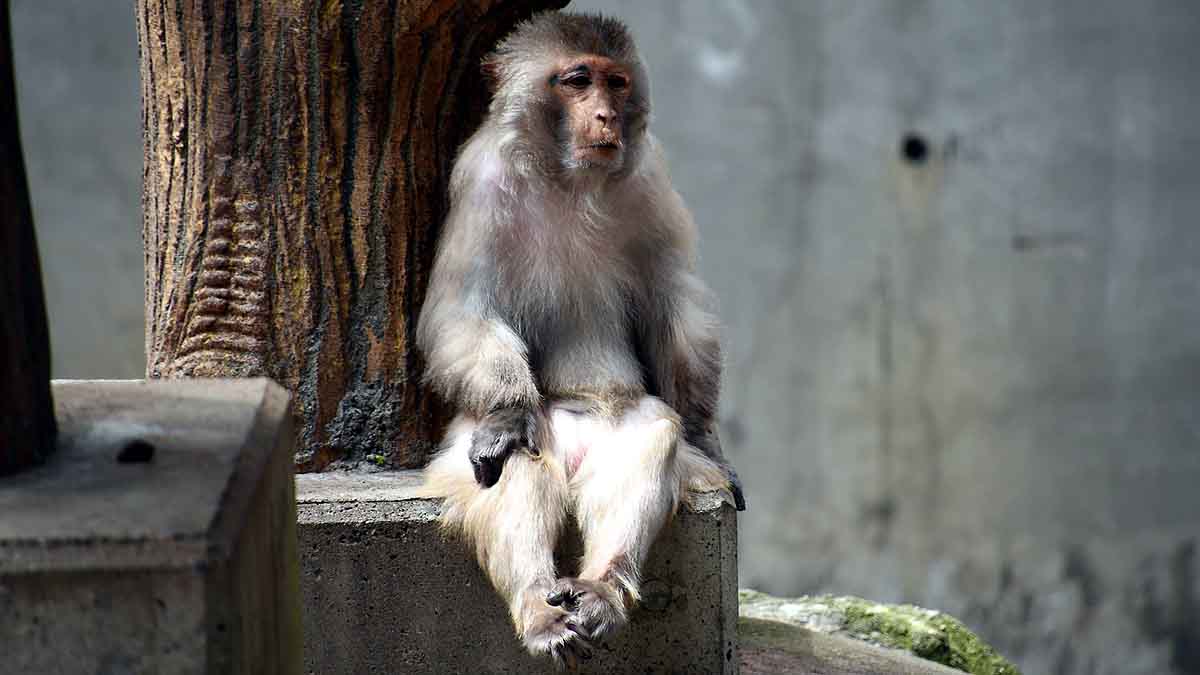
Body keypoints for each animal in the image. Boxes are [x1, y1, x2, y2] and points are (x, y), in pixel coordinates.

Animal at [417, 11, 745, 668]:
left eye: (616, 83)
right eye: (576, 80)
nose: (605, 117)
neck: (569, 179)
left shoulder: (649, 178)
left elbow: (674, 303)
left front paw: (705, 435)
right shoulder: (480, 180)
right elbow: (461, 313)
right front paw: (507, 410)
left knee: (649, 435)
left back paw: (599, 591)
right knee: (514, 452)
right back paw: (540, 608)